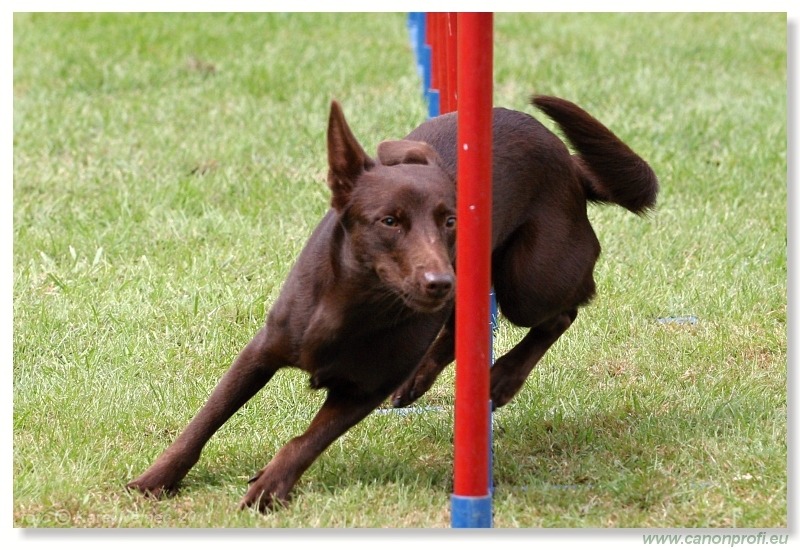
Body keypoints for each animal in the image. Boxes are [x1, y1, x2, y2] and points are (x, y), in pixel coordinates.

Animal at [130, 95, 656, 512]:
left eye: (449, 221)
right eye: (389, 221)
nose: (439, 281)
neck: (352, 303)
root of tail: (570, 162)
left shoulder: (363, 392)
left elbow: (306, 441)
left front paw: (270, 487)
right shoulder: (261, 352)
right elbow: (206, 419)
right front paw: (156, 480)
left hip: (528, 281)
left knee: (563, 310)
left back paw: (501, 377)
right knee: (462, 327)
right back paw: (420, 381)